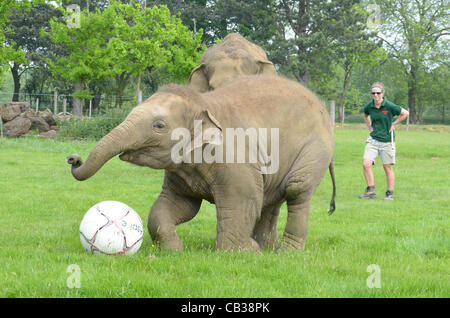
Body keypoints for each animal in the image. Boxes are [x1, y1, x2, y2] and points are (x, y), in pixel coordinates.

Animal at [66, 74, 334, 251]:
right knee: (272, 198)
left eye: (159, 126)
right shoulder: (180, 168)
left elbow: (242, 199)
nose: (73, 158)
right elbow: (178, 204)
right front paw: (175, 251)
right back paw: (268, 248)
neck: (203, 104)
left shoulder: (237, 160)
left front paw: (241, 253)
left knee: (296, 189)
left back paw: (286, 252)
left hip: (316, 147)